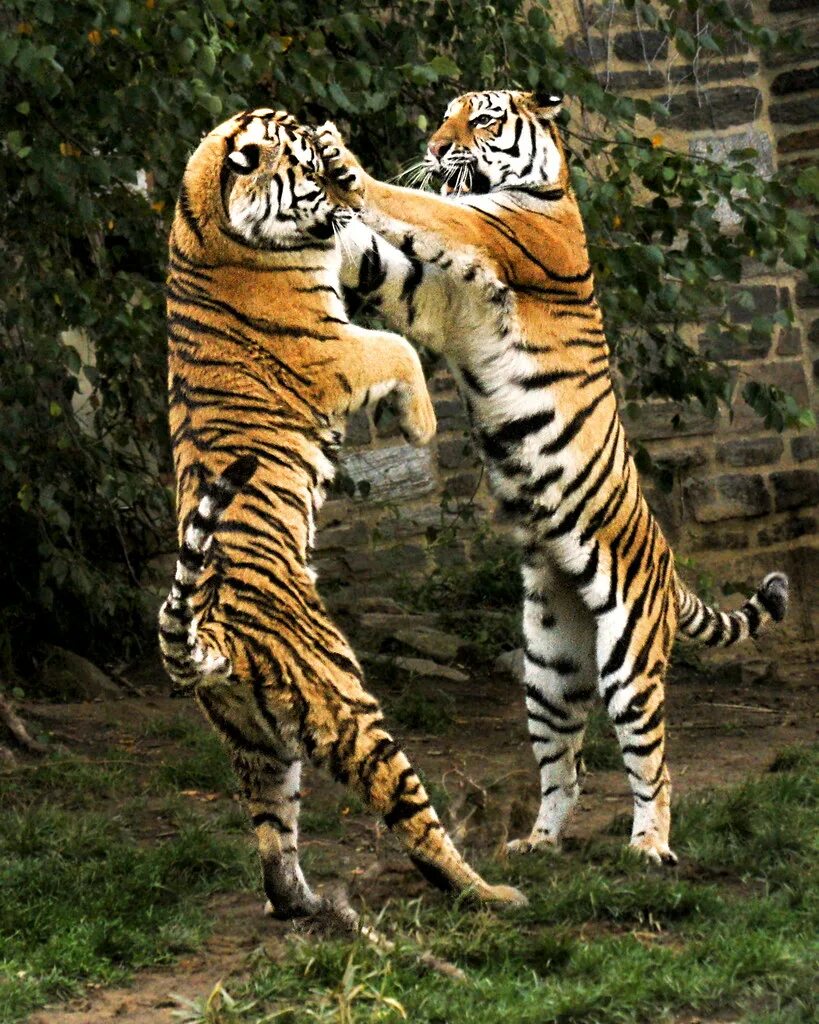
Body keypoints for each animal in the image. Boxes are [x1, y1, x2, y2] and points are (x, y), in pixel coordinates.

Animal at [157, 107, 526, 927]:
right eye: (306, 171)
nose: (339, 186)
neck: (205, 213)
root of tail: (211, 639)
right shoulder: (336, 351)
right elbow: (400, 350)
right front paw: (418, 428)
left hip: (257, 745)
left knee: (272, 840)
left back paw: (308, 904)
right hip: (349, 709)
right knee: (416, 824)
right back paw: (491, 892)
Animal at [316, 89, 789, 867]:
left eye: (479, 119)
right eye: (444, 115)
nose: (435, 146)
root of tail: (669, 569)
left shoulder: (485, 233)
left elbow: (408, 202)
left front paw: (338, 157)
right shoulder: (430, 295)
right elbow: (376, 249)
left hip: (628, 660)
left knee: (653, 763)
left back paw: (648, 849)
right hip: (548, 667)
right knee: (564, 767)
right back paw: (536, 843)